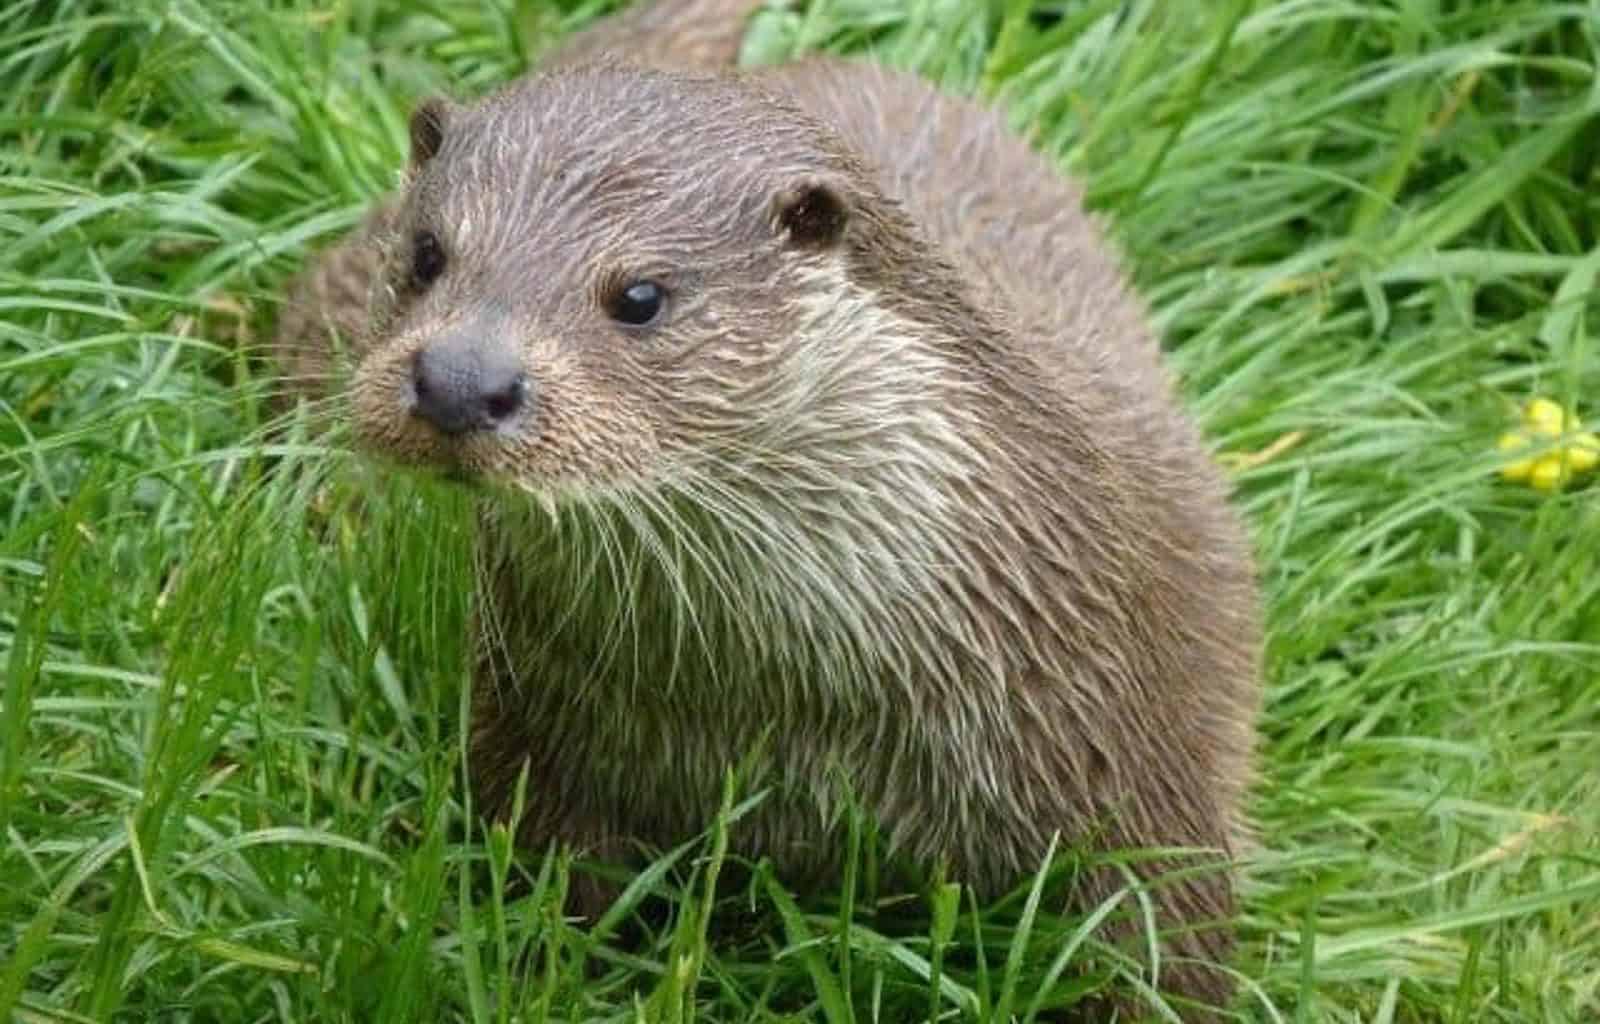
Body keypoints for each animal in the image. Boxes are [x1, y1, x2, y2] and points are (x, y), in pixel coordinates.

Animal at [273, 0, 1262, 1017]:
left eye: (640, 296)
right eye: (429, 252)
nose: (461, 380)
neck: (793, 699)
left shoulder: (1131, 745)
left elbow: (1164, 940)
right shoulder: (536, 732)